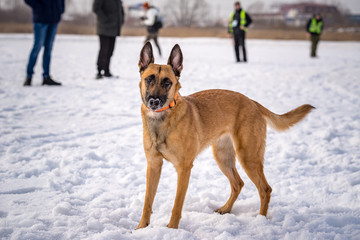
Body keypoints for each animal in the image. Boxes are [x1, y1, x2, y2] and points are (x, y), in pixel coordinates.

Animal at [136, 41, 314, 229]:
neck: (162, 119)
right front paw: (141, 228)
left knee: (265, 189)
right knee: (238, 183)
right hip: (223, 157)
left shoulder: (184, 168)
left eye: (167, 82)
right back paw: (226, 209)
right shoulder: (153, 165)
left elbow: (177, 205)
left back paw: (261, 221)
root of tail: (253, 102)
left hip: (248, 157)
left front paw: (172, 230)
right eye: (149, 79)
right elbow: (147, 201)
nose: (154, 101)